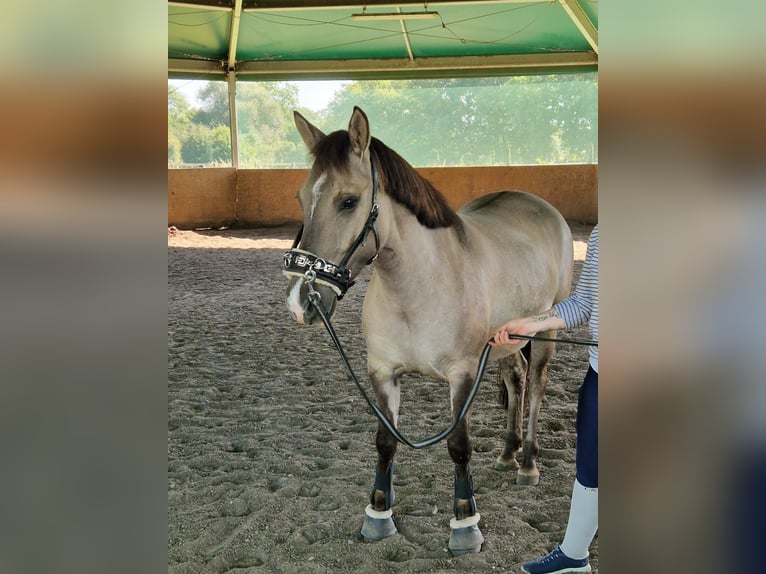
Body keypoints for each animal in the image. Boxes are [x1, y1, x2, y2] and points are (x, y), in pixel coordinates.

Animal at [284, 108, 572, 560]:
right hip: (506, 342)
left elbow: (458, 446)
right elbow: (385, 441)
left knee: (538, 387)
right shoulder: (382, 373)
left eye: (348, 200)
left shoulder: (463, 376)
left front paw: (465, 524)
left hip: (545, 338)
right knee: (516, 380)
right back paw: (507, 454)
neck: (419, 287)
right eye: (300, 198)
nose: (301, 302)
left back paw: (526, 463)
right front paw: (378, 514)